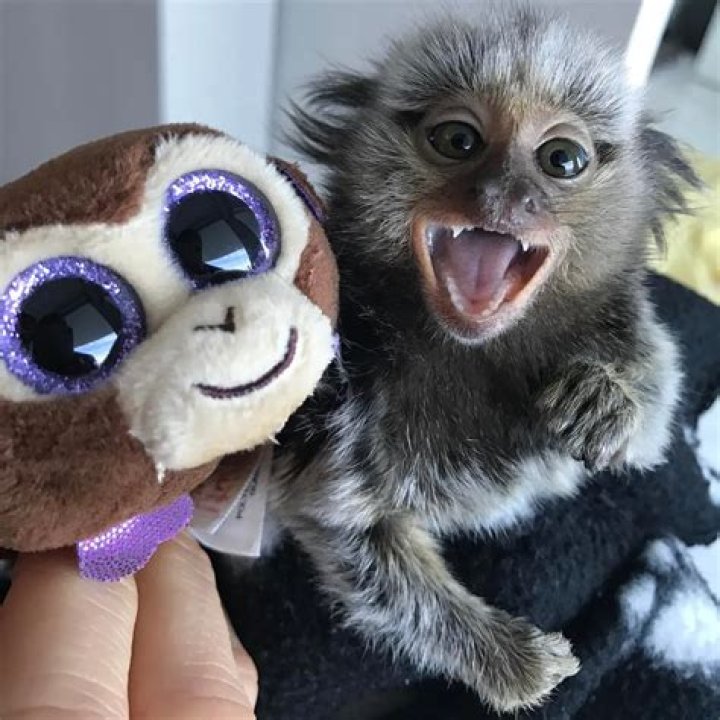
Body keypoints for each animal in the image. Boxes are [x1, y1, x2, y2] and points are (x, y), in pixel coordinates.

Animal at [270, 7, 700, 713]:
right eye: (458, 140)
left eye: (562, 159)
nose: (501, 194)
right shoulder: (342, 411)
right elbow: (344, 531)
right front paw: (512, 661)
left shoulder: (623, 327)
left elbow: (655, 405)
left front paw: (605, 404)